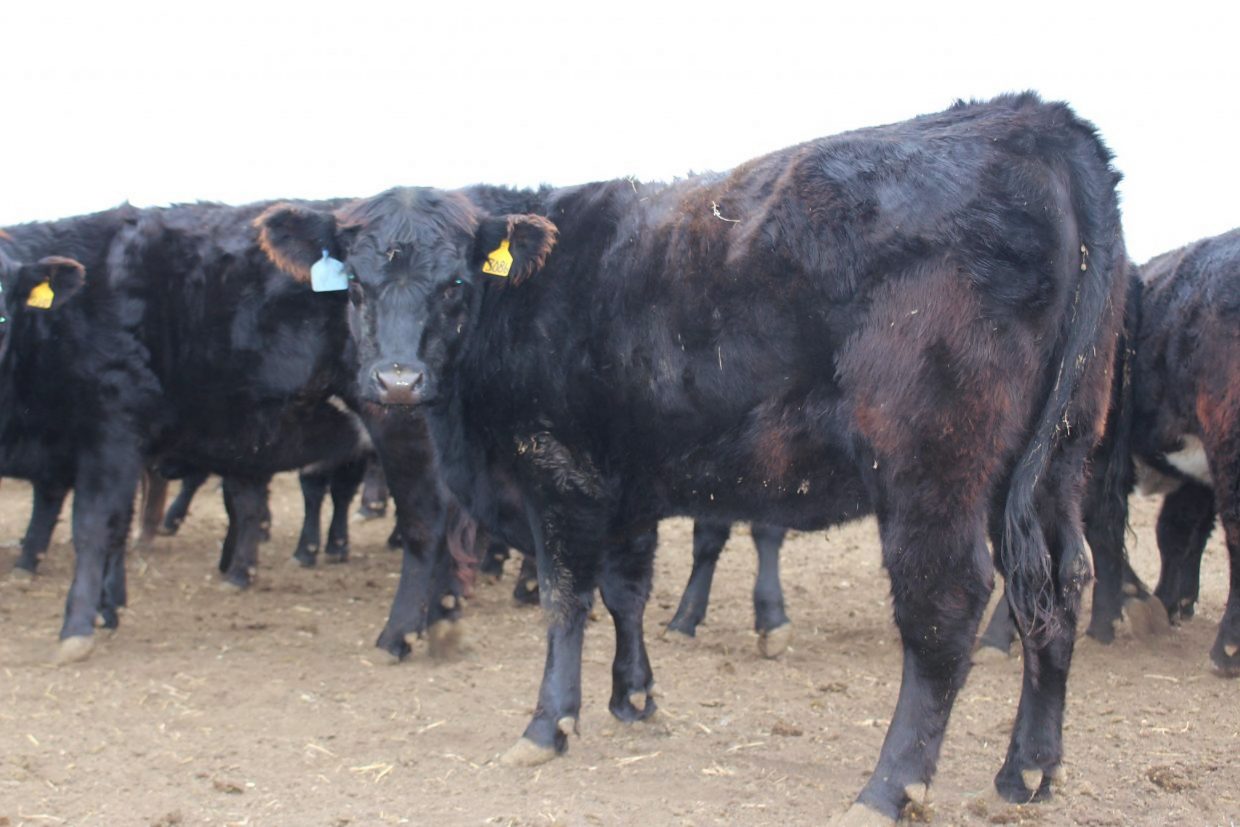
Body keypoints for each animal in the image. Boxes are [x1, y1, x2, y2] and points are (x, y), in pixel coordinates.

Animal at [258, 93, 1127, 819]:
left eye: (453, 285)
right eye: (357, 286)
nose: (396, 379)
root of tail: (1028, 117)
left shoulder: (557, 474)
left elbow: (565, 599)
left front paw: (548, 724)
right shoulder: (623, 485)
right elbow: (626, 592)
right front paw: (634, 698)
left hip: (932, 467)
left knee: (946, 609)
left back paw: (888, 787)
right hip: (1056, 463)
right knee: (1059, 588)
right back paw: (1029, 770)